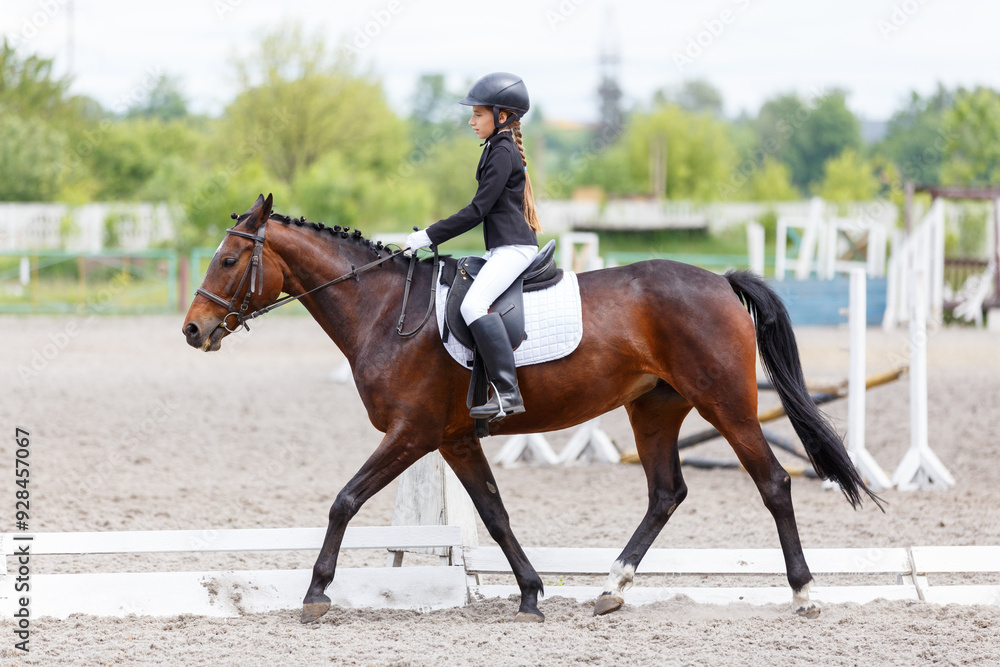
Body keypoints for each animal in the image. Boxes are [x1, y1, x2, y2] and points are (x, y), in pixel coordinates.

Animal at [182, 194, 881, 624]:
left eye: (228, 258)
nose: (192, 331)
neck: (385, 312)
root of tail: (719, 280)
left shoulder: (412, 433)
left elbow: (344, 501)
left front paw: (316, 592)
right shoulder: (454, 438)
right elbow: (494, 514)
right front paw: (530, 593)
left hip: (726, 404)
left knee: (773, 483)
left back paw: (804, 592)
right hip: (655, 410)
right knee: (665, 493)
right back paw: (610, 589)